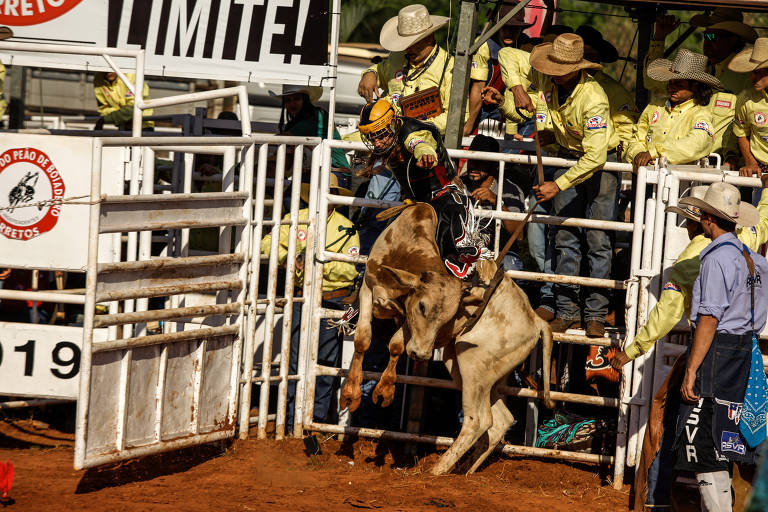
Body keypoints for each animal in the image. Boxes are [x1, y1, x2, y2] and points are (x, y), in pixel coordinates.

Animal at [338, 203, 552, 476]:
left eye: (449, 317)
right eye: (421, 306)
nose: (422, 355)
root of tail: (536, 321)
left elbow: (395, 344)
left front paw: (382, 391)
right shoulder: (369, 287)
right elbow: (364, 338)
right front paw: (351, 395)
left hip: (472, 365)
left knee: (478, 420)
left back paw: (437, 471)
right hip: (478, 373)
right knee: (501, 420)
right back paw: (465, 471)